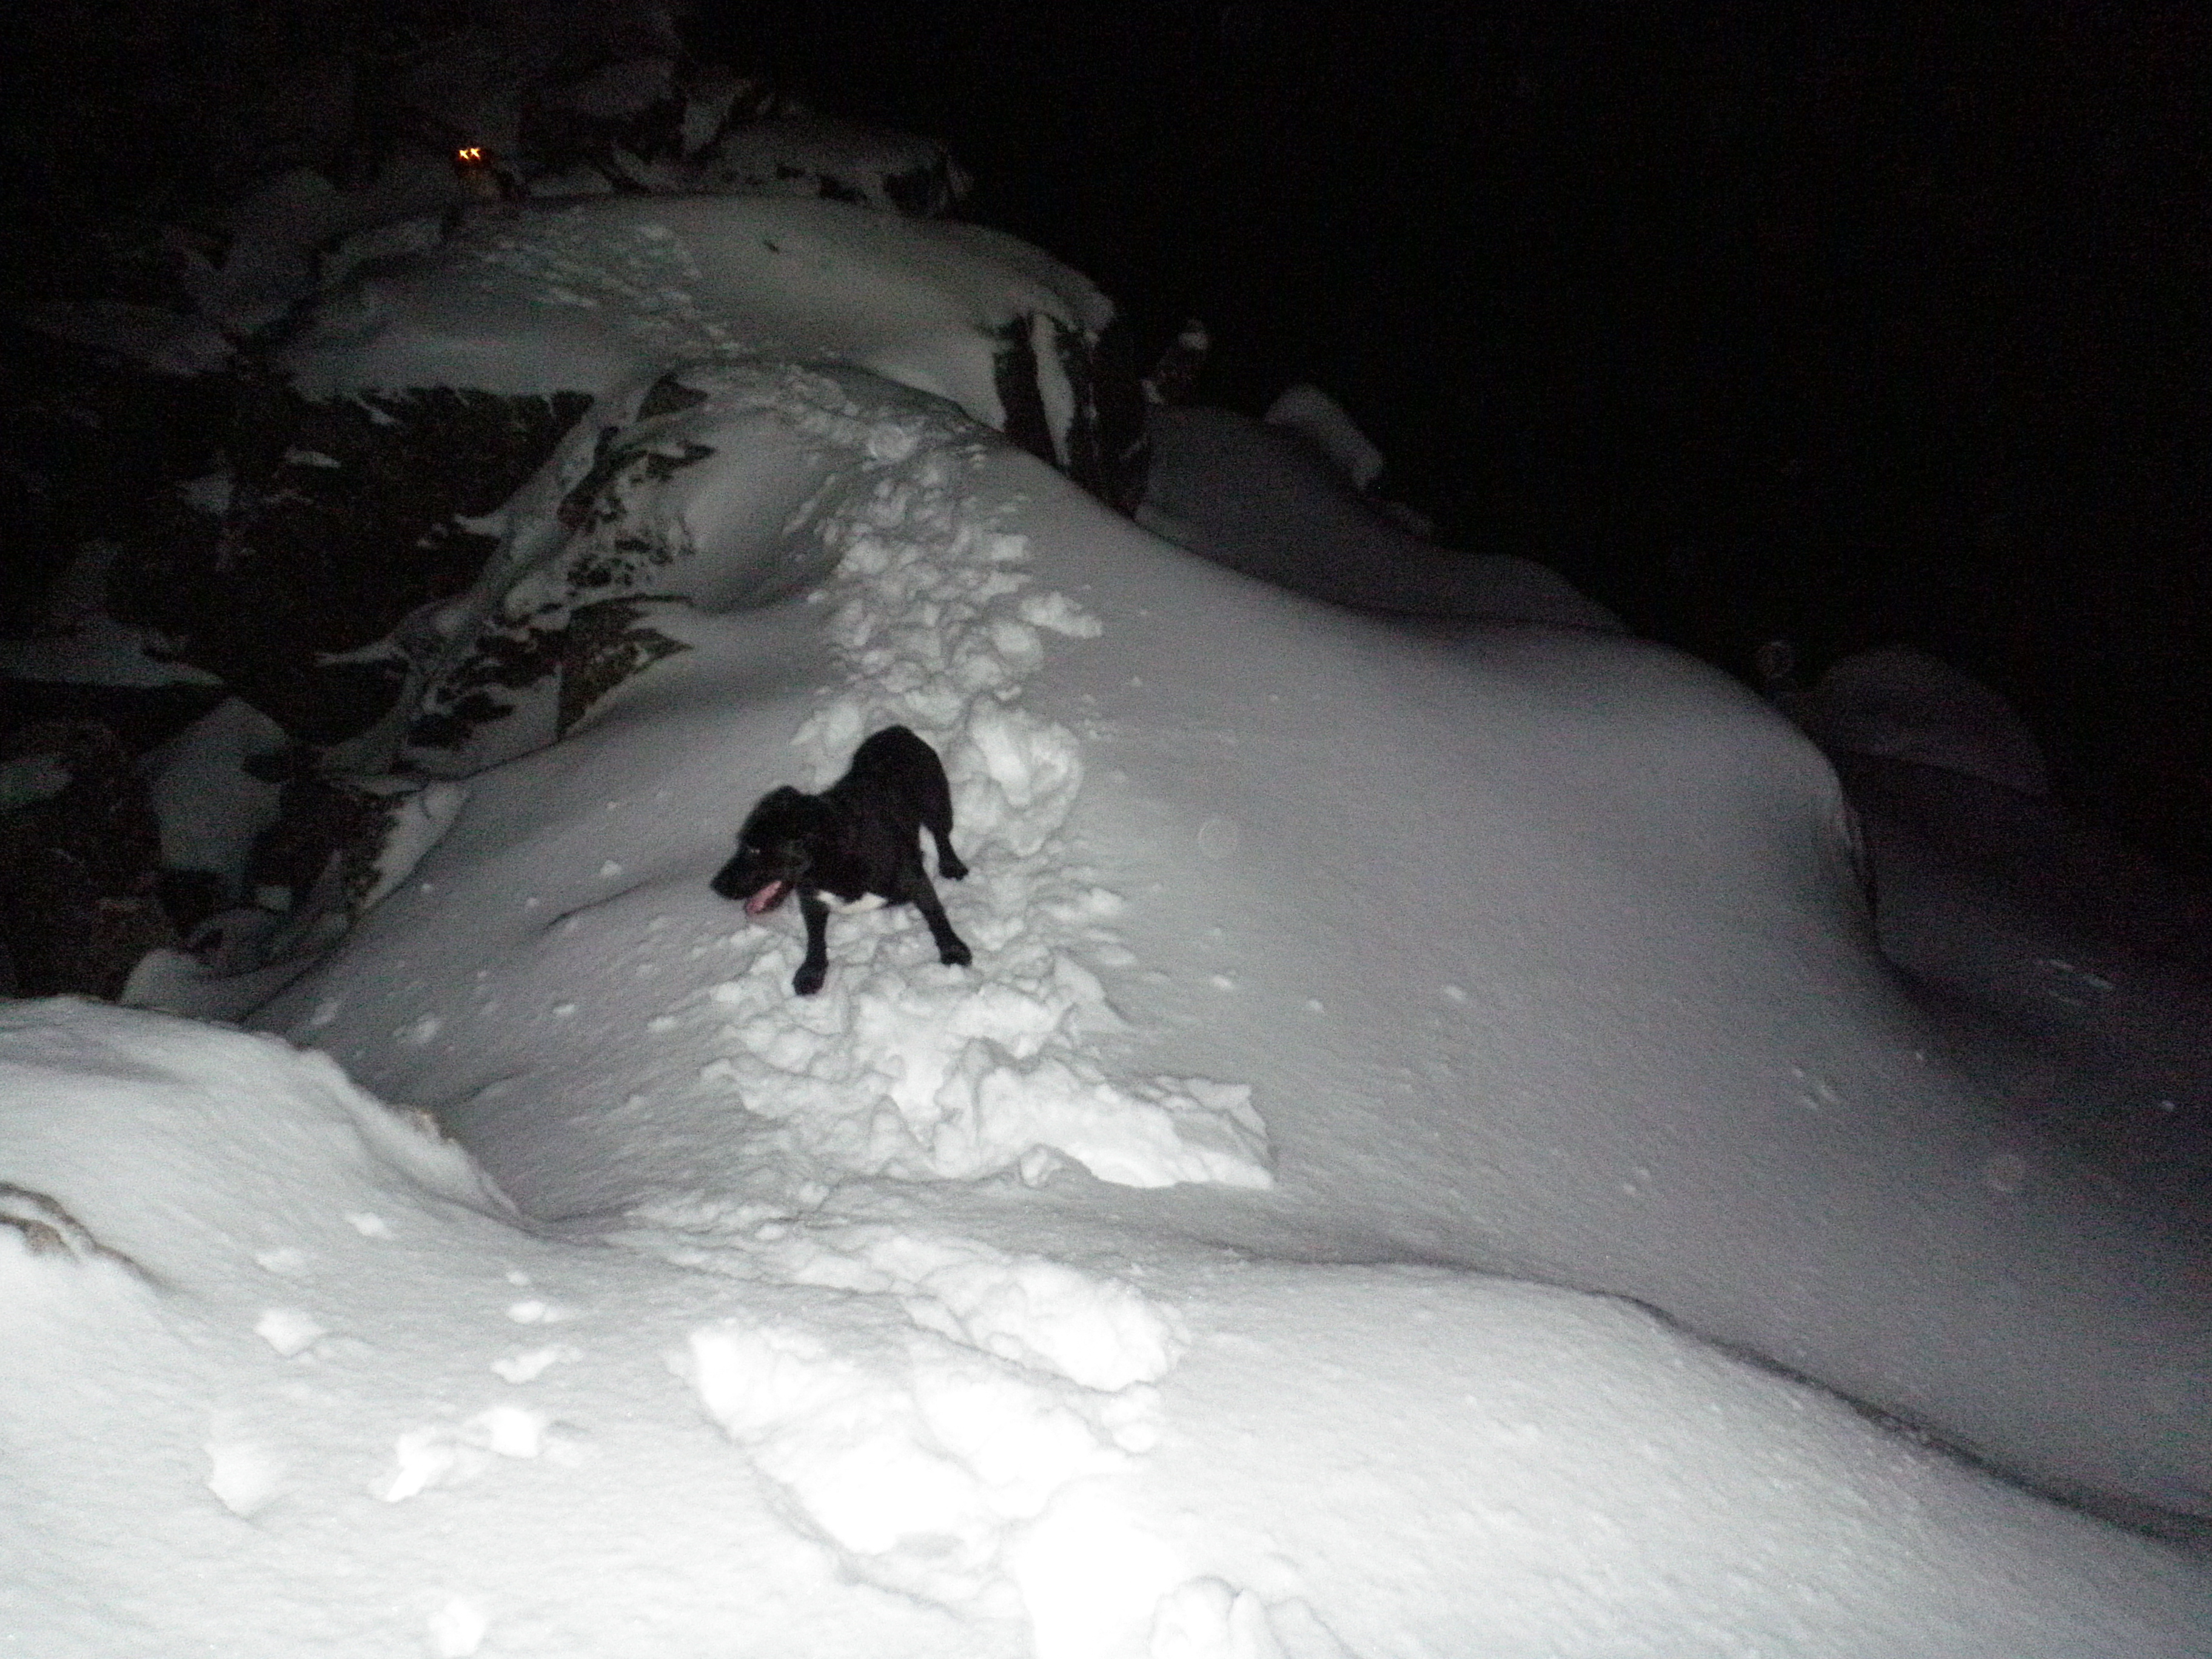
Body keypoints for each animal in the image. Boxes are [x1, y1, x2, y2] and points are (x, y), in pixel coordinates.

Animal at [712, 725, 973, 999]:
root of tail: (896, 731)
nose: (716, 885)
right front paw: (811, 972)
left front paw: (953, 949)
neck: (835, 858)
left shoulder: (914, 877)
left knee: (941, 834)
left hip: (936, 801)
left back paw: (952, 865)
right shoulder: (812, 899)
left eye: (754, 849)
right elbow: (816, 939)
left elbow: (936, 913)